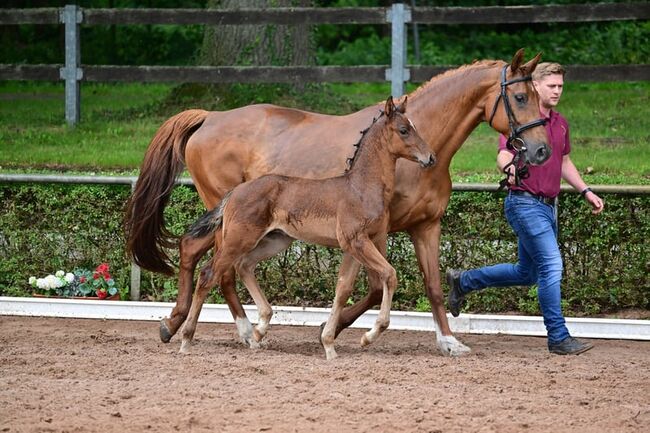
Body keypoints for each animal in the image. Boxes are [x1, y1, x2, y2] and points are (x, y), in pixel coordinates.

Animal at [178, 97, 436, 358]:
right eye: (403, 130)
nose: (430, 157)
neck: (361, 188)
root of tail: (235, 192)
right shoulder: (356, 241)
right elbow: (389, 274)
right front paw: (368, 335)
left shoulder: (360, 244)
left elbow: (343, 289)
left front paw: (329, 344)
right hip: (239, 239)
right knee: (209, 274)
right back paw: (187, 339)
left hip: (275, 240)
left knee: (244, 265)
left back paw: (259, 330)